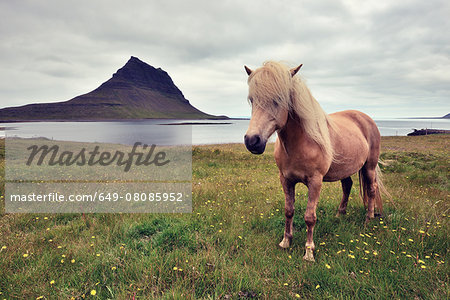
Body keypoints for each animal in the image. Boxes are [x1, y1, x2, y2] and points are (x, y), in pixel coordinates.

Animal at [243, 61, 386, 260]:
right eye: (252, 100)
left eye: (278, 99)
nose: (252, 141)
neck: (302, 142)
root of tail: (367, 119)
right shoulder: (286, 180)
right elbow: (289, 211)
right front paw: (286, 241)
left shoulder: (315, 182)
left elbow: (310, 217)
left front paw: (309, 252)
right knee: (347, 186)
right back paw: (340, 214)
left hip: (369, 166)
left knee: (372, 189)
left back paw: (368, 219)